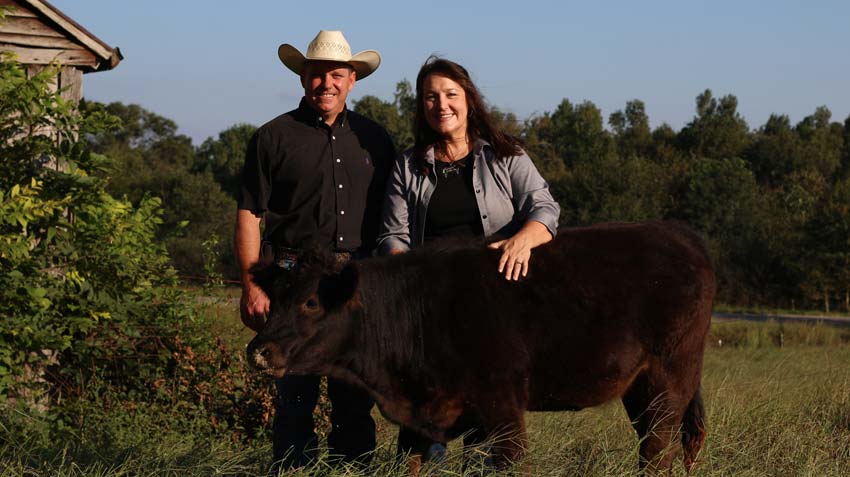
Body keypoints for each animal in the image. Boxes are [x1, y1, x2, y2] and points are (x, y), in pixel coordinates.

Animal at [245, 220, 716, 472]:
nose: (258, 350)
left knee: (657, 450)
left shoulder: (503, 406)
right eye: (275, 298)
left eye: (310, 301)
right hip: (640, 389)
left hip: (669, 379)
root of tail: (678, 234)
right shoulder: (420, 418)